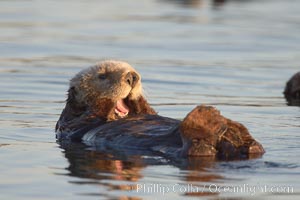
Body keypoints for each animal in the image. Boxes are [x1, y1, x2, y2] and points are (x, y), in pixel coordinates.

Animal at [55, 60, 264, 160]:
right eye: (102, 76)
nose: (132, 76)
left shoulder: (147, 112)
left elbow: (148, 111)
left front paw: (137, 96)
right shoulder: (70, 124)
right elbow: (91, 114)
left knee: (254, 148)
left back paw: (234, 129)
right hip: (187, 148)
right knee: (196, 149)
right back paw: (208, 117)